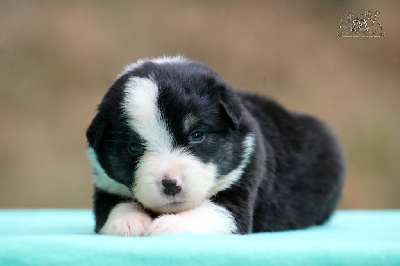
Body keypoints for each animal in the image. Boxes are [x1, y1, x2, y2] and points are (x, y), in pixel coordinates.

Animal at [86, 55, 346, 235]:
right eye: (133, 147)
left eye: (197, 135)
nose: (171, 185)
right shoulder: (106, 185)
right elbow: (114, 207)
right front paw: (130, 223)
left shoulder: (241, 187)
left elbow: (210, 211)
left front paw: (168, 225)